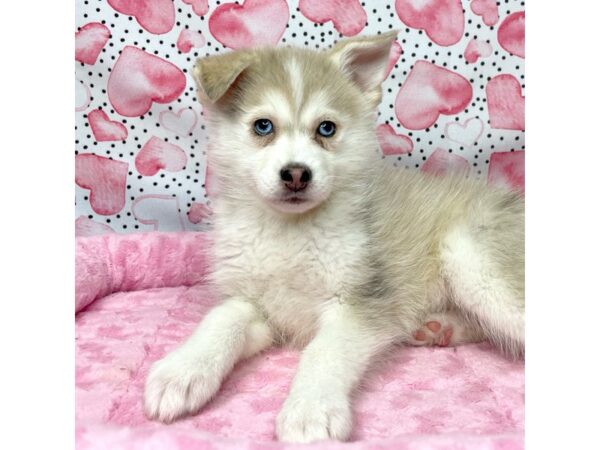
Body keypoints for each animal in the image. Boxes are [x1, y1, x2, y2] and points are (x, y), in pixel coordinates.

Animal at [143, 30, 524, 442]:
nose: (296, 173)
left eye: (326, 128)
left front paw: (311, 409)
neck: (289, 233)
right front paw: (182, 371)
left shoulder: (358, 303)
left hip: (471, 258)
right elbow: (221, 321)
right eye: (263, 126)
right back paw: (442, 327)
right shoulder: (254, 304)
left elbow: (324, 352)